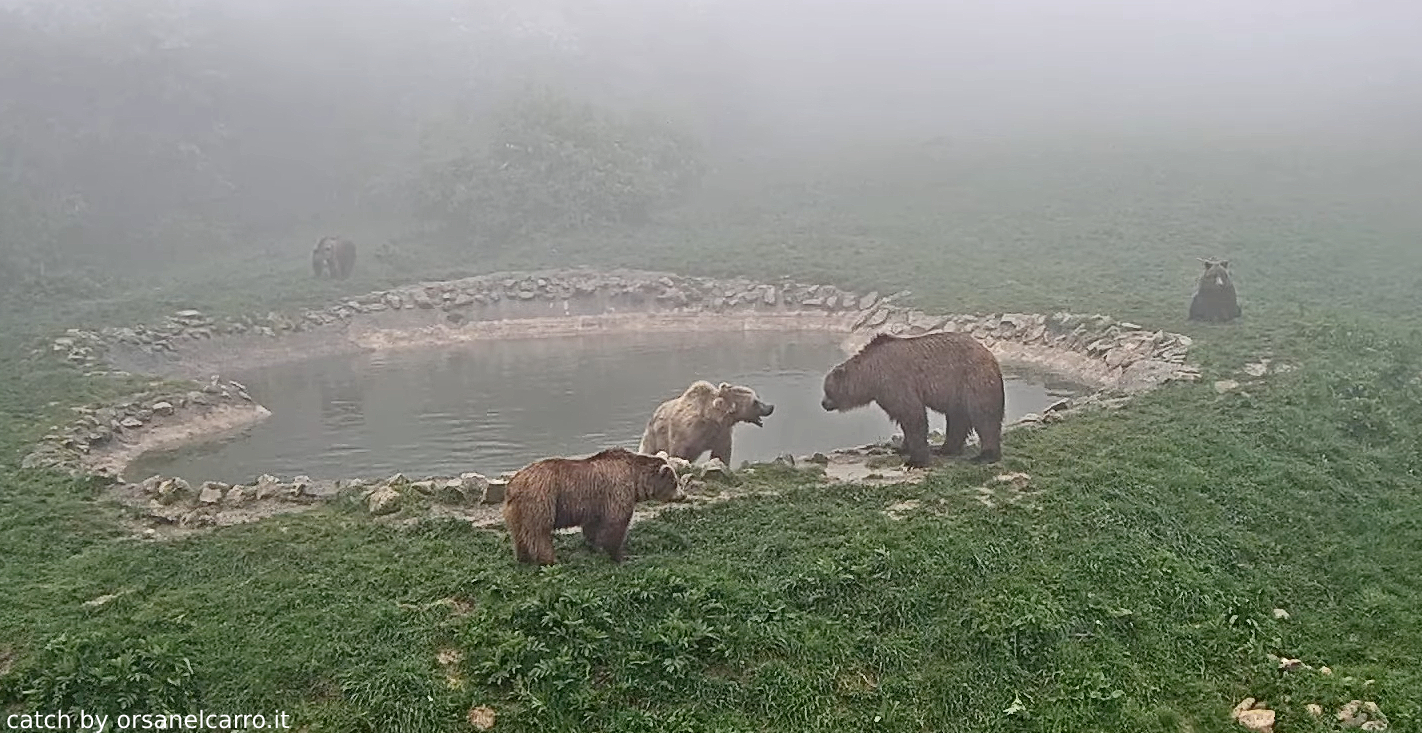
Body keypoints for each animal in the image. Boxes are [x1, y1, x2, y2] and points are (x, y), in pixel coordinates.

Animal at [503, 446, 685, 569]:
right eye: (675, 482)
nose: (683, 495)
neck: (635, 478)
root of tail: (515, 483)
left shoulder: (595, 505)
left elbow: (592, 527)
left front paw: (594, 547)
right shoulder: (617, 492)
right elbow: (616, 525)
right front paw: (620, 556)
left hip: (516, 509)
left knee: (519, 533)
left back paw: (523, 557)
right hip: (542, 498)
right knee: (539, 532)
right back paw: (550, 559)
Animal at [639, 381, 779, 466]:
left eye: (757, 398)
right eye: (755, 401)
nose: (770, 407)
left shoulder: (721, 433)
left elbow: (721, 454)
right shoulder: (685, 433)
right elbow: (679, 453)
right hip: (653, 436)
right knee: (648, 450)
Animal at [819, 331, 1006, 466]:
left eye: (827, 390)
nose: (823, 403)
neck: (870, 376)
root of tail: (990, 354)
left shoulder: (895, 382)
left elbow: (912, 415)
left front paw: (916, 460)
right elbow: (904, 419)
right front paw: (902, 448)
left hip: (972, 379)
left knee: (984, 416)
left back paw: (986, 455)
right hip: (957, 393)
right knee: (957, 419)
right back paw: (946, 449)